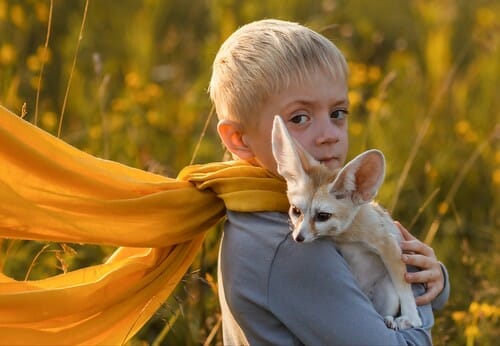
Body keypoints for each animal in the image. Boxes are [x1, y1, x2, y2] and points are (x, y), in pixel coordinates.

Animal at [274, 116, 422, 330]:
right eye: (296, 211)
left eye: (323, 216)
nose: (298, 237)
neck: (348, 235)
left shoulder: (389, 246)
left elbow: (404, 286)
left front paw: (411, 318)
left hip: (388, 290)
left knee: (385, 309)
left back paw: (389, 319)